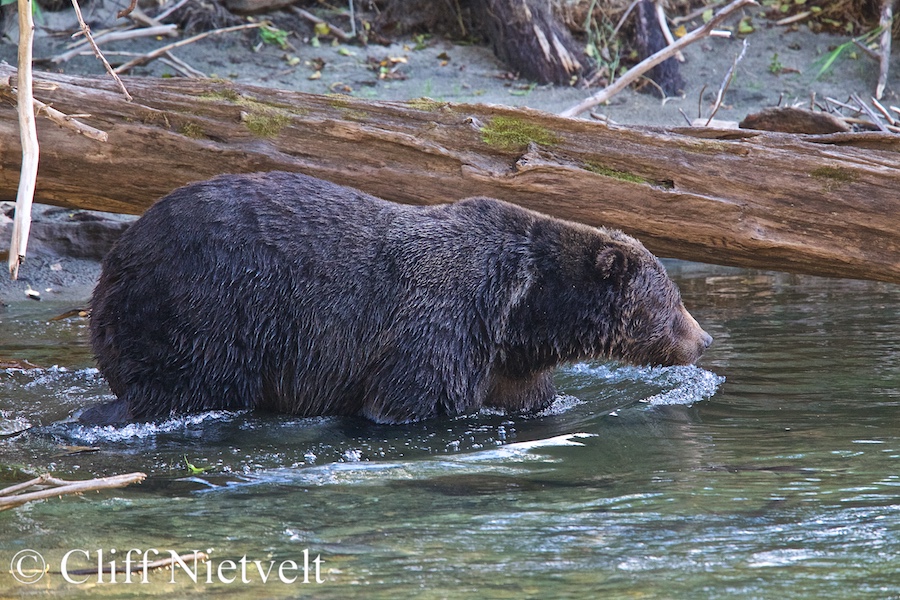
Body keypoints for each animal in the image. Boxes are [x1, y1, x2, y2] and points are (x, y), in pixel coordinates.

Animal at [79, 171, 712, 424]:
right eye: (670, 301)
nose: (703, 339)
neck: (522, 314)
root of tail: (113, 261)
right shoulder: (439, 324)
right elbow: (408, 401)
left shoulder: (505, 362)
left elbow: (526, 397)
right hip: (205, 307)